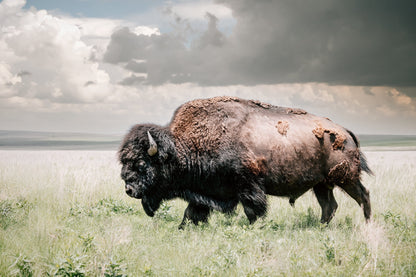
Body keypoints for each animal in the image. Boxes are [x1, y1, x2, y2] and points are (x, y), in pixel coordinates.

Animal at [118, 96, 372, 227]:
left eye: (141, 164)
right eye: (124, 162)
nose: (129, 189)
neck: (184, 147)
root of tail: (345, 132)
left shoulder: (248, 186)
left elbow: (254, 210)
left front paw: (255, 227)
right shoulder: (203, 192)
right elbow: (192, 212)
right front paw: (184, 228)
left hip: (346, 178)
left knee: (363, 196)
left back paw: (368, 224)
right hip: (321, 185)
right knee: (329, 206)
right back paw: (321, 227)